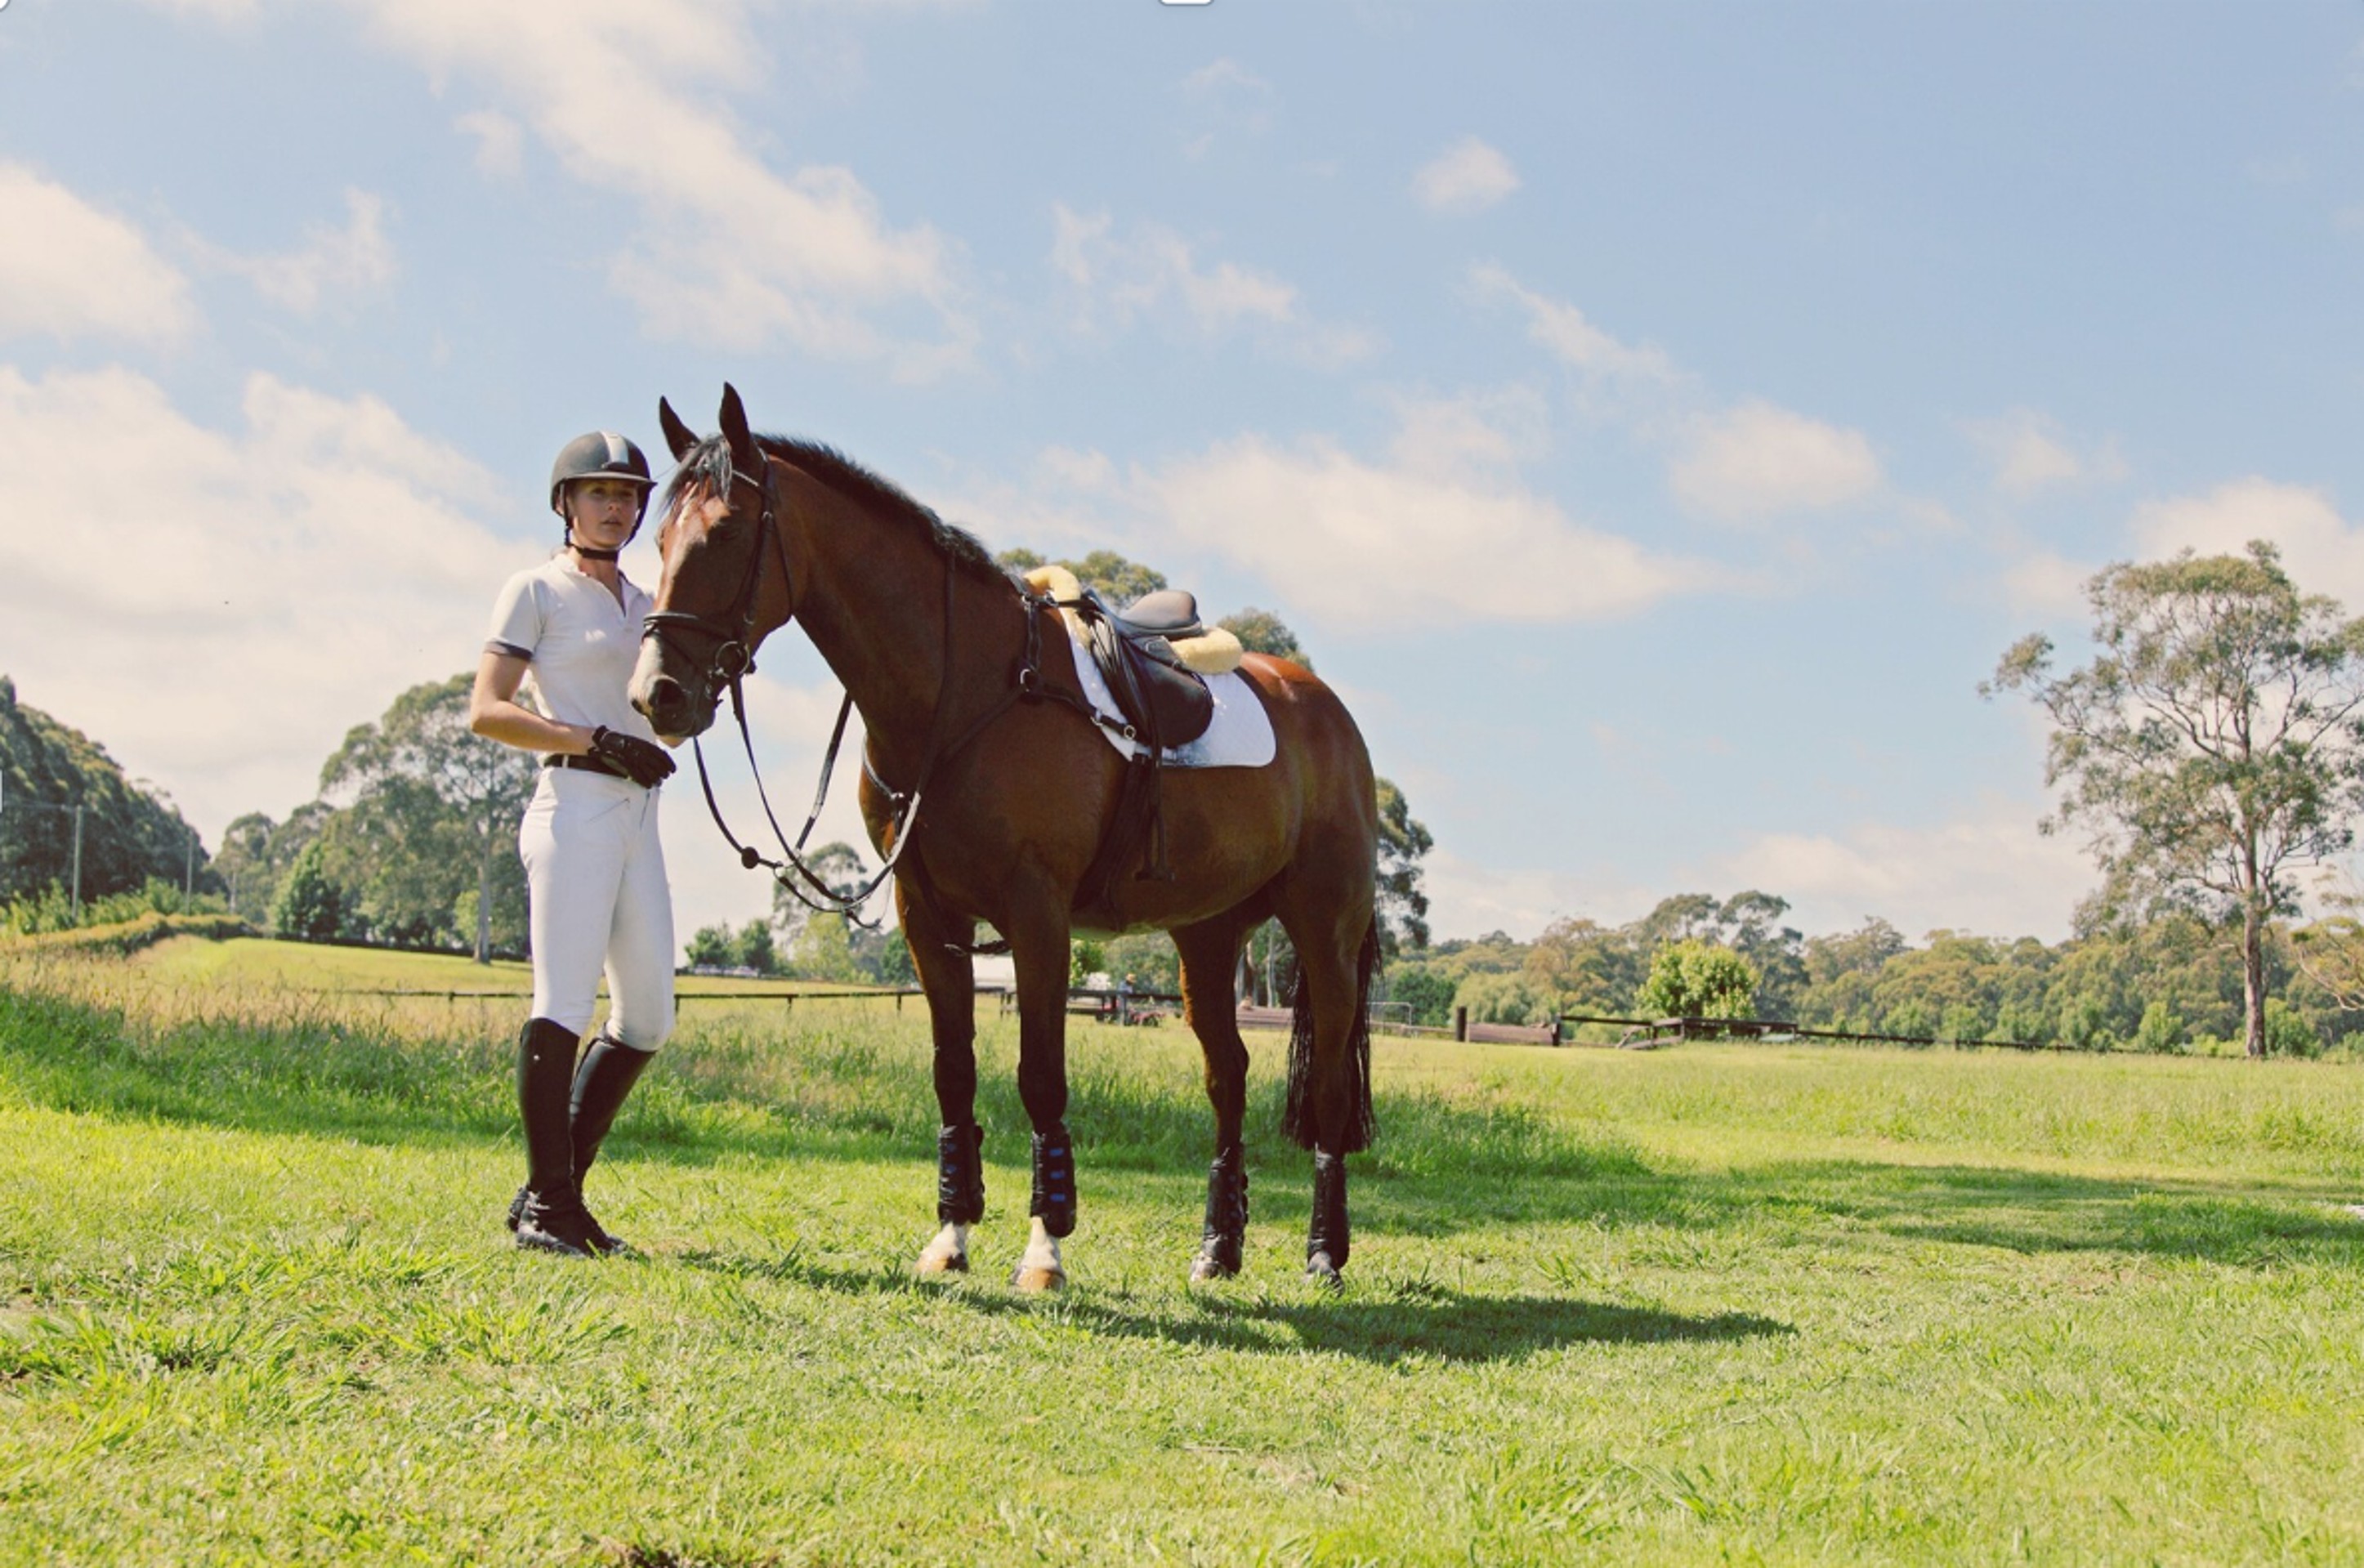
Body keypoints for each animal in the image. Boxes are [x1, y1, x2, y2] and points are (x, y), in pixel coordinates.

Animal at [630, 386, 1381, 1290]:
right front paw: (951, 1233)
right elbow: (954, 1073)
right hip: (1205, 936)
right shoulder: (929, 915)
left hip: (1325, 933)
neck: (963, 689)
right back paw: (1217, 1246)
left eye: (725, 533)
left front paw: (1044, 1248)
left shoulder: (1036, 914)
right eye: (657, 539)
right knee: (1226, 1076)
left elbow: (1039, 1077)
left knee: (1330, 1089)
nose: (658, 694)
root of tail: (1327, 711)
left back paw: (1323, 1252)